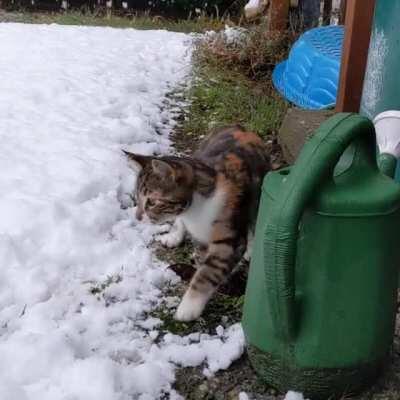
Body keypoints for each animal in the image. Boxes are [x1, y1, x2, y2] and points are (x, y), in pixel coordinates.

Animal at [123, 126, 270, 322]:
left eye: (152, 201)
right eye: (137, 199)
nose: (138, 217)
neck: (196, 209)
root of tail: (241, 128)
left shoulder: (230, 235)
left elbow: (210, 270)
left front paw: (188, 307)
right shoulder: (200, 237)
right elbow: (203, 261)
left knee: (255, 216)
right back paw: (175, 236)